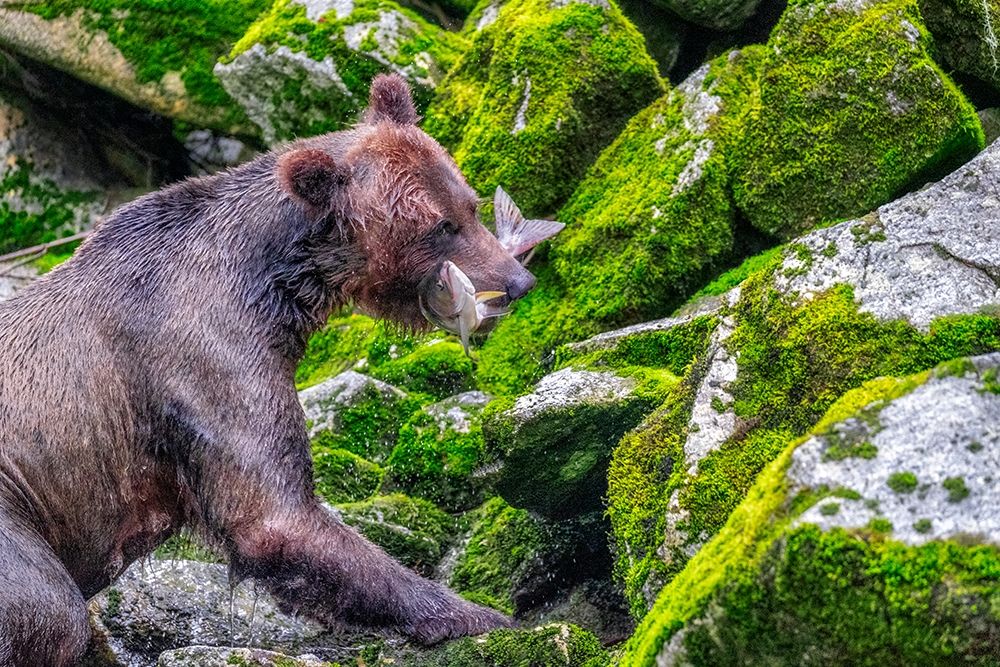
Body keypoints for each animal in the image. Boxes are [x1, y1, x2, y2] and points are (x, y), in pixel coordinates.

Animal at [0, 74, 535, 666]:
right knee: (53, 611)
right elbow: (275, 517)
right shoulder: (204, 359)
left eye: (470, 203)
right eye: (439, 226)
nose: (517, 280)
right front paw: (481, 616)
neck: (277, 283)